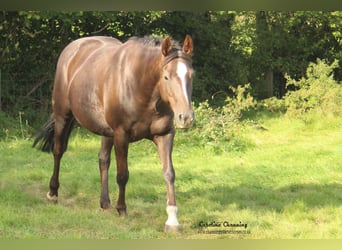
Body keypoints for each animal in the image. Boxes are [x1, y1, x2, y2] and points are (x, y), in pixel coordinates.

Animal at [33, 35, 195, 232]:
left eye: (191, 75)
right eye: (166, 76)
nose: (185, 117)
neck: (141, 87)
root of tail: (72, 48)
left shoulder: (164, 135)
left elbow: (169, 173)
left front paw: (172, 220)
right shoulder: (121, 135)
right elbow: (123, 174)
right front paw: (122, 209)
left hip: (106, 131)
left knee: (103, 159)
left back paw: (104, 202)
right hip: (62, 116)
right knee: (58, 151)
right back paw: (53, 193)